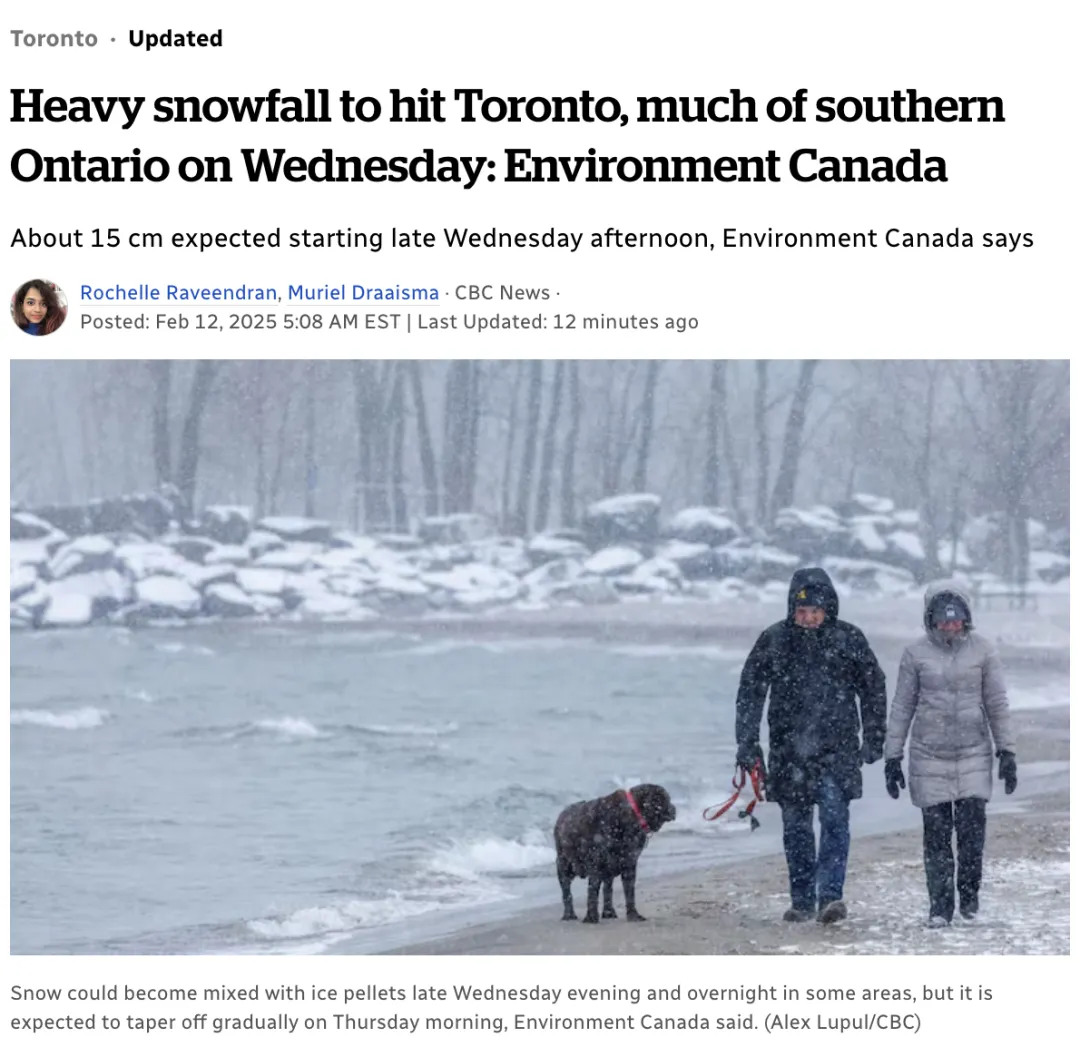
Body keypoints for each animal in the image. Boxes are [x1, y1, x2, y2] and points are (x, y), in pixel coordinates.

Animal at [557, 786, 673, 924]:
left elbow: (629, 891)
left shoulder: (629, 863)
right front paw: (591, 917)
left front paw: (633, 914)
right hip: (564, 865)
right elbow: (592, 890)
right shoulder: (596, 864)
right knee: (566, 890)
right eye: (666, 799)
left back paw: (608, 912)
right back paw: (569, 914)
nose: (673, 807)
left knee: (607, 888)